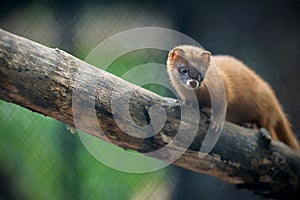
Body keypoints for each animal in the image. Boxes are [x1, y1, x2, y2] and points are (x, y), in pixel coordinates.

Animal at [166, 44, 300, 149]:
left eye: (202, 72)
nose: (193, 82)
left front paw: (216, 122)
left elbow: (222, 104)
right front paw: (188, 104)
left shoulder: (222, 87)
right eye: (183, 69)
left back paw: (250, 124)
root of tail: (275, 102)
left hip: (264, 111)